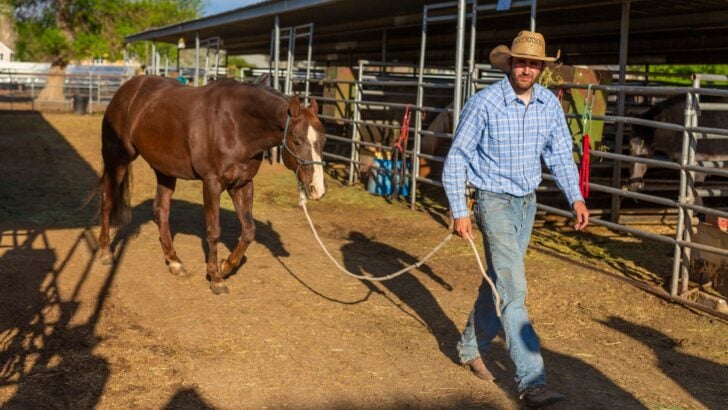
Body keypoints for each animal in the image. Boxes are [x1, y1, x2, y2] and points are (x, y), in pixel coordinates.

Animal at [96, 76, 326, 294]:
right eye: (296, 140)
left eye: (323, 141)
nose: (318, 190)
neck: (236, 125)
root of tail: (126, 90)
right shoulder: (212, 183)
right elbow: (214, 231)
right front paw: (215, 278)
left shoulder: (242, 184)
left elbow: (249, 231)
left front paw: (226, 266)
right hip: (118, 159)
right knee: (107, 201)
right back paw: (106, 252)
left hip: (165, 171)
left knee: (161, 211)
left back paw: (174, 262)